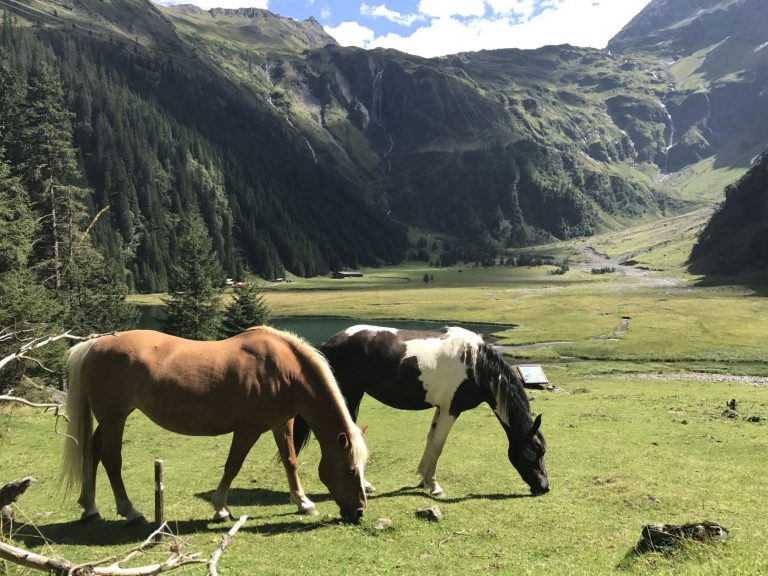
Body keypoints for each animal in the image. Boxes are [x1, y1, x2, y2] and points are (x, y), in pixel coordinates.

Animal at [63, 328, 368, 520]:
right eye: (350, 470)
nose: (359, 512)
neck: (284, 370)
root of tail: (94, 344)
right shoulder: (248, 429)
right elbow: (233, 465)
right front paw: (220, 508)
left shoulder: (282, 424)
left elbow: (290, 462)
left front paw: (304, 503)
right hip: (114, 417)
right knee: (111, 459)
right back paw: (129, 510)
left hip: (111, 418)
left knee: (93, 451)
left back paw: (90, 506)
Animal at [292, 326, 548, 498]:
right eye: (536, 450)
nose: (545, 487)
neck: (476, 364)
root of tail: (328, 343)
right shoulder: (451, 409)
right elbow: (438, 446)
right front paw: (434, 486)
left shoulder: (441, 409)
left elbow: (430, 440)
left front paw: (423, 479)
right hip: (349, 396)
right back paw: (364, 485)